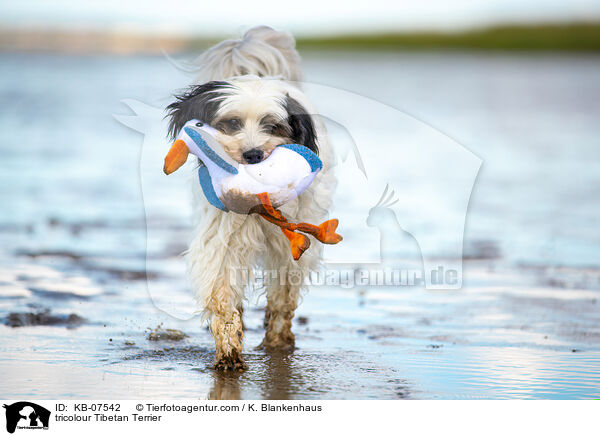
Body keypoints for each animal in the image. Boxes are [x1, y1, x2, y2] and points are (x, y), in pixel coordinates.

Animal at [166, 25, 338, 370]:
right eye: (231, 123)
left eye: (272, 126)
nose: (254, 154)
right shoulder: (222, 236)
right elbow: (221, 289)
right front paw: (229, 347)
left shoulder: (291, 244)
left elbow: (284, 291)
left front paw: (277, 338)